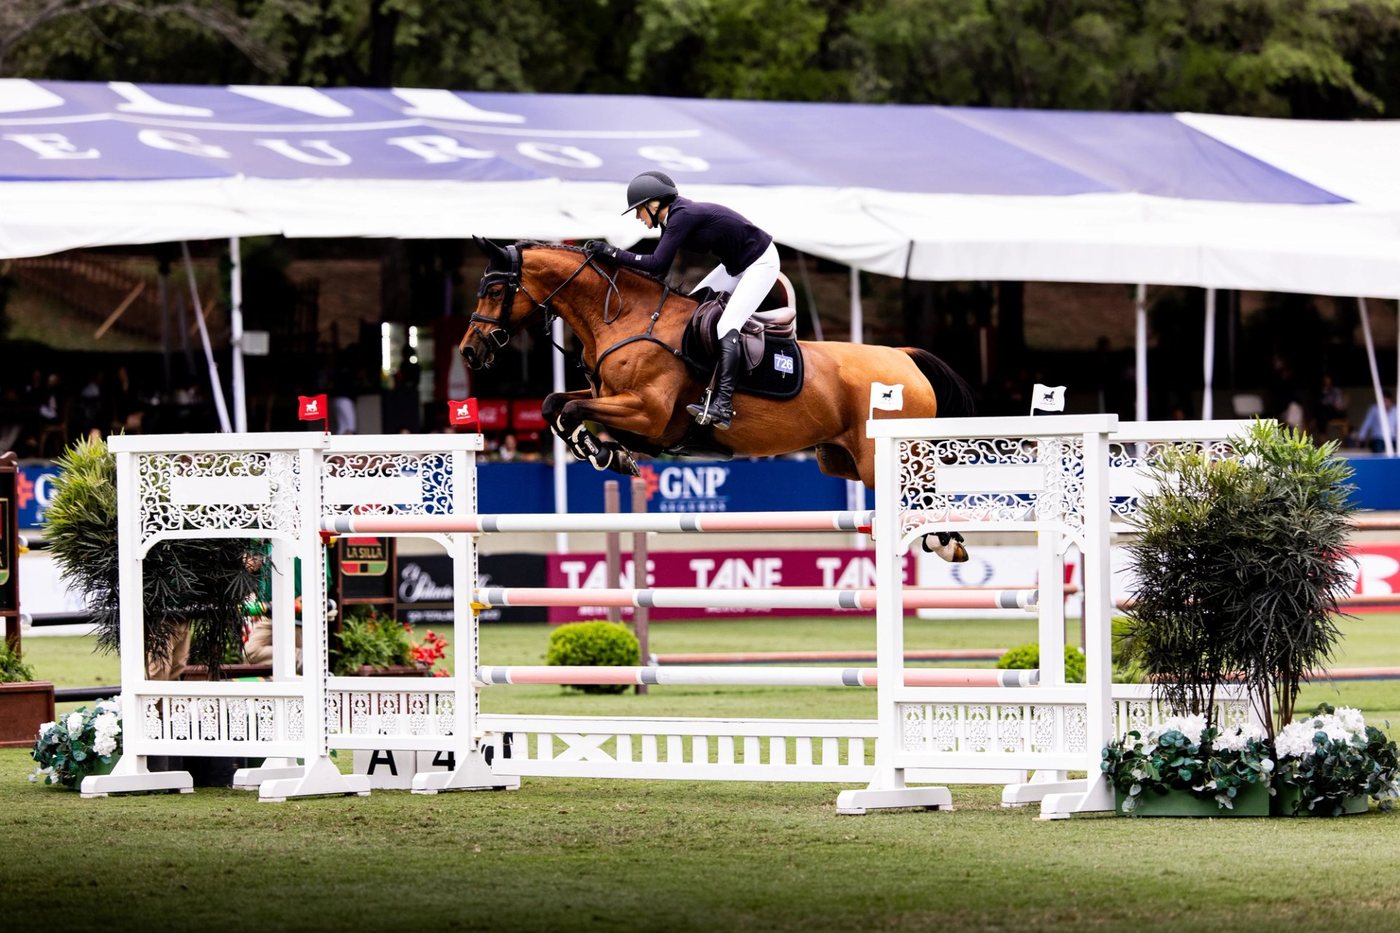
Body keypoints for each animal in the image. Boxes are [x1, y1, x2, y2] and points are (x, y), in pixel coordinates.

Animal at [461, 238, 977, 558]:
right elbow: (555, 405)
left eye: (495, 289)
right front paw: (609, 454)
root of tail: (905, 358)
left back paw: (945, 540)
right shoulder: (612, 400)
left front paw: (605, 452)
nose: (469, 349)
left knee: (925, 495)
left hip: (886, 455)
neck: (624, 318)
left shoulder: (646, 413)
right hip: (841, 460)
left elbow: (570, 409)